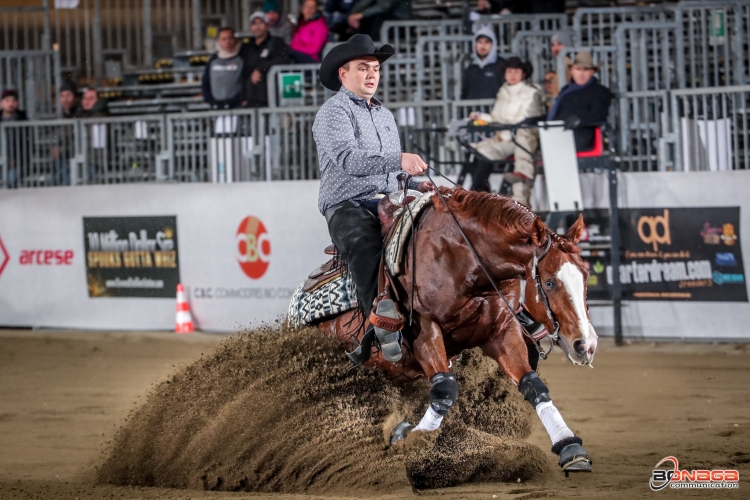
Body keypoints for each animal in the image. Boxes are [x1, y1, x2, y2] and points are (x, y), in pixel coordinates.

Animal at [318, 188, 600, 472]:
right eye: (550, 282)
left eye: (586, 276)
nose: (585, 345)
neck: (464, 261)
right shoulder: (424, 331)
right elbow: (445, 390)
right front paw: (408, 437)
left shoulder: (501, 332)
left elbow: (533, 385)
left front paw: (570, 448)